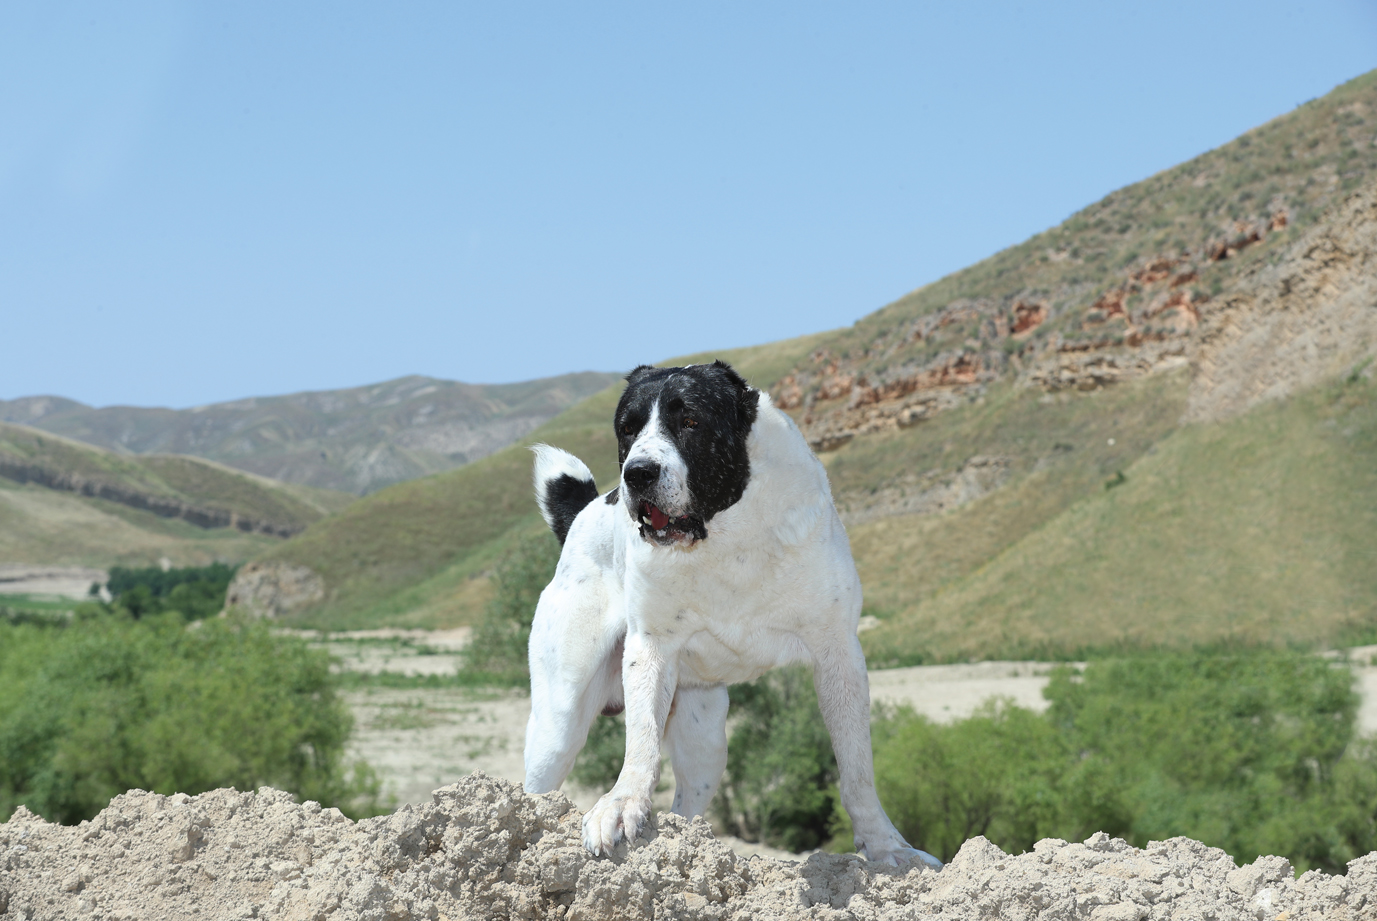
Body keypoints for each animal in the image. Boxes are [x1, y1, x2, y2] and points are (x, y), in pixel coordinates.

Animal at [520, 360, 941, 870]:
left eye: (690, 422)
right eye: (627, 428)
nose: (636, 473)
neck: (723, 533)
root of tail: (584, 511)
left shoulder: (837, 652)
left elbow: (856, 767)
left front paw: (886, 847)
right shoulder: (651, 649)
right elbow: (641, 741)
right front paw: (621, 804)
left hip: (705, 739)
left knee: (686, 803)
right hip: (558, 721)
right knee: (538, 785)